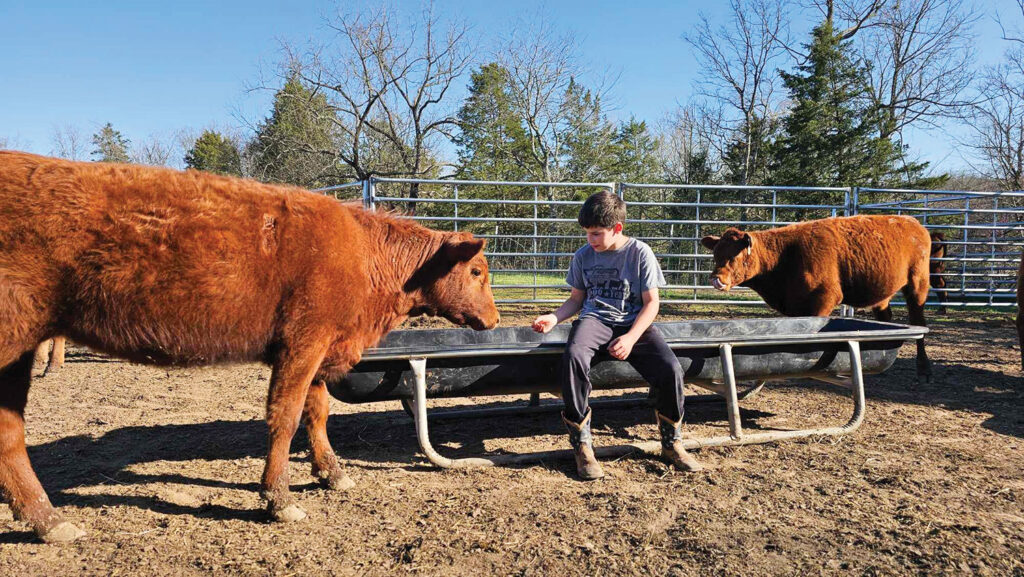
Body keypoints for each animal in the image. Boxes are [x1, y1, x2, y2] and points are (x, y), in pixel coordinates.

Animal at [0, 151, 499, 545]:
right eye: (477, 271)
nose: (494, 320)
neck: (362, 252)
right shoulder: (303, 342)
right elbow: (286, 415)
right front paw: (278, 499)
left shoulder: (319, 351)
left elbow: (317, 412)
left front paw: (332, 473)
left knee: (9, 433)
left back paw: (47, 521)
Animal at [700, 214, 933, 381]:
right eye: (716, 254)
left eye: (735, 255)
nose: (716, 279)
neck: (785, 256)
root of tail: (912, 222)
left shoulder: (824, 298)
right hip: (882, 293)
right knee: (886, 316)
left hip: (918, 284)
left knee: (918, 319)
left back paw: (924, 369)